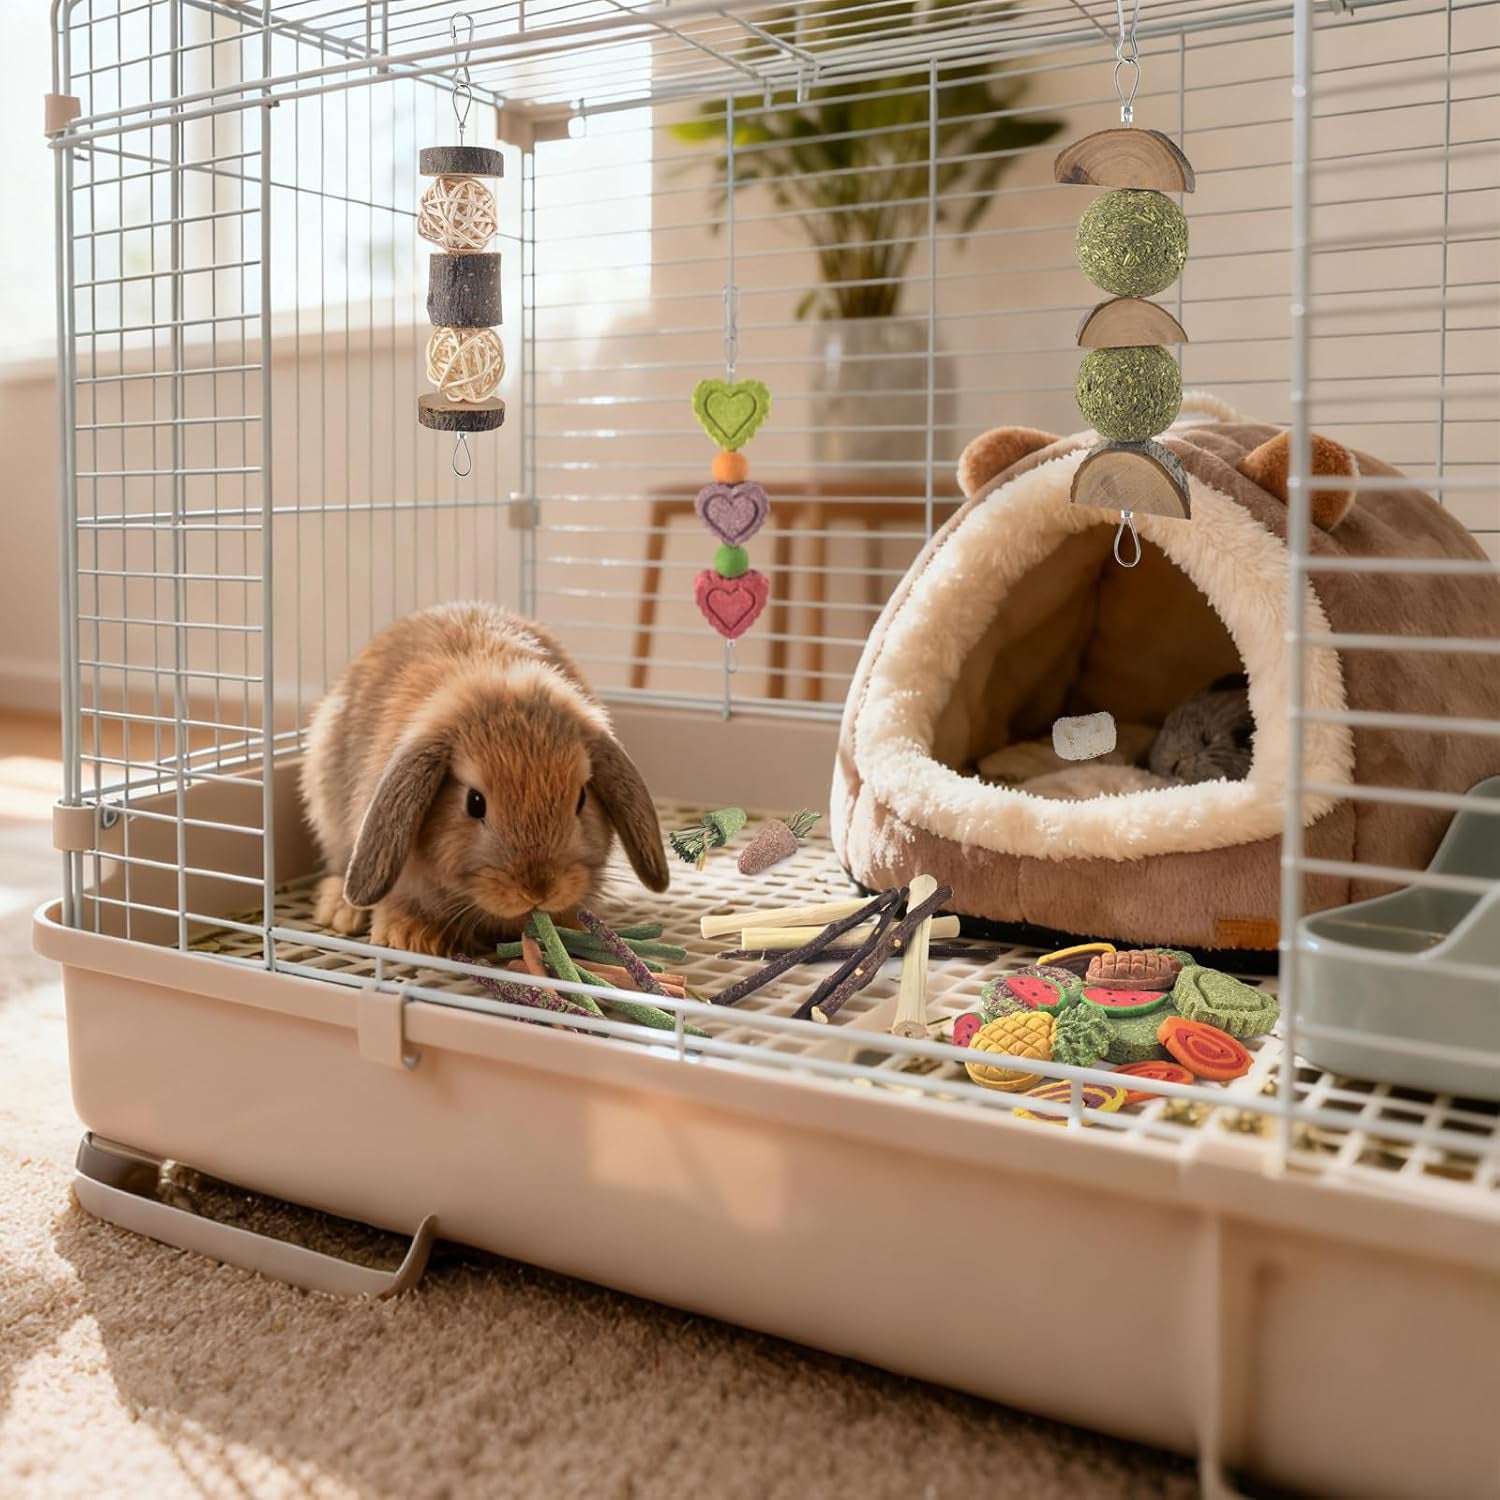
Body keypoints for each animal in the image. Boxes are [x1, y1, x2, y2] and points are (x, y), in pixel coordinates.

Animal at [300, 602, 669, 957]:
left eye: (581, 799)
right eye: (474, 802)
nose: (538, 890)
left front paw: (570, 925)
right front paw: (408, 937)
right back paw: (341, 911)